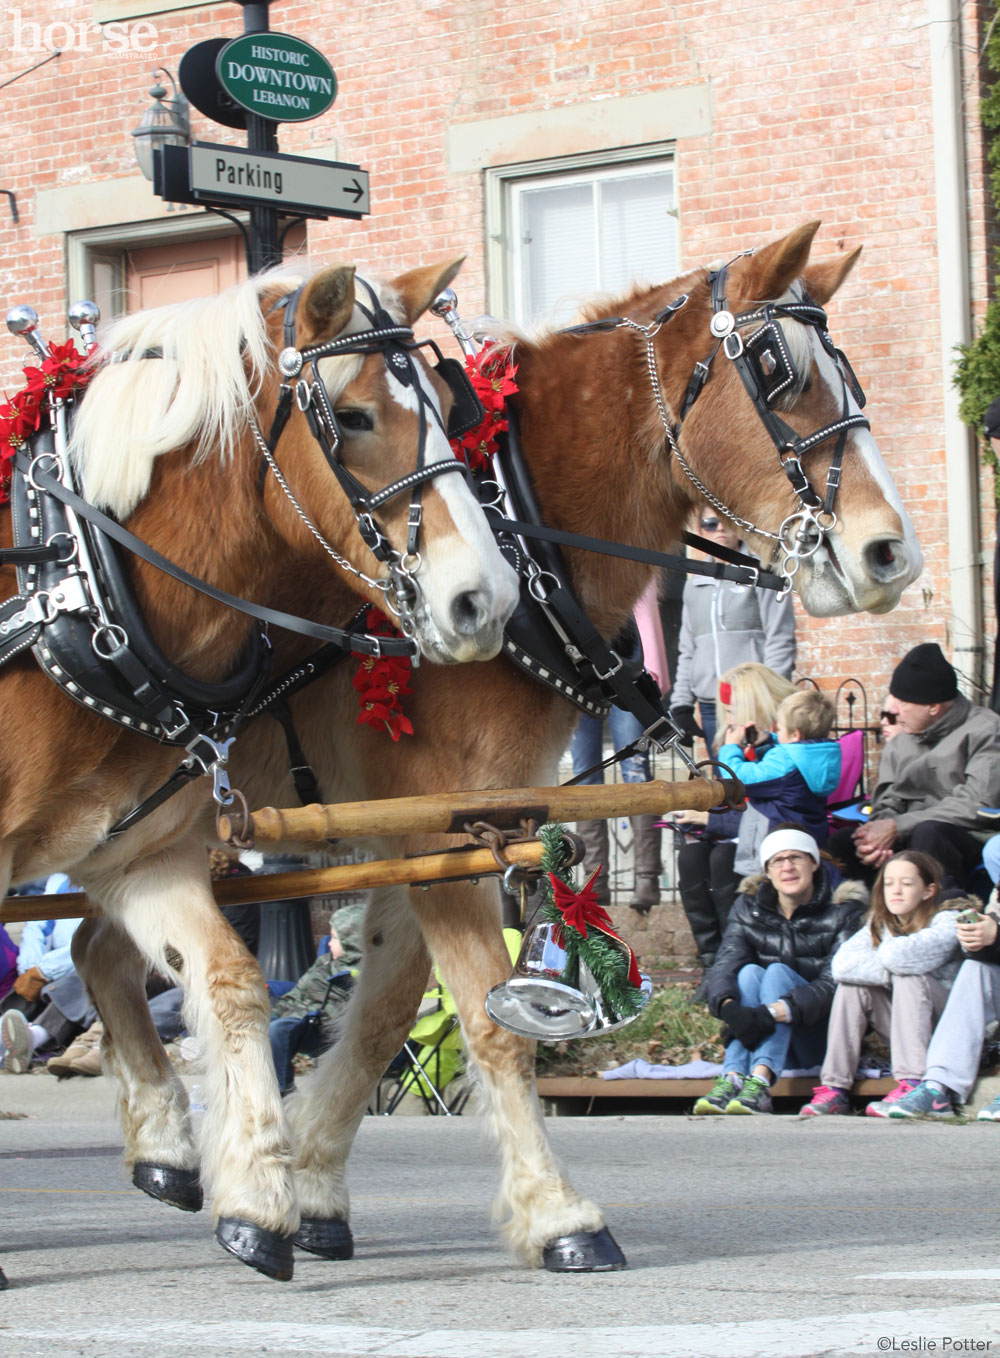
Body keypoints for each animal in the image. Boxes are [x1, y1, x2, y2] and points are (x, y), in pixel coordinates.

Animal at [0, 259, 516, 1276]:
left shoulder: (141, 855)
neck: (73, 586)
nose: (486, 599)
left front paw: (260, 1203)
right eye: (352, 417)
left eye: (449, 405)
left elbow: (232, 980)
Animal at [66, 219, 918, 1271]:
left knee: (98, 946)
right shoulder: (438, 829)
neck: (521, 538)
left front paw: (308, 1182)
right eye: (777, 370)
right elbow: (488, 1019)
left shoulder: (440, 832)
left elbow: (389, 1012)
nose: (893, 553)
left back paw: (165, 1146)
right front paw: (557, 1213)